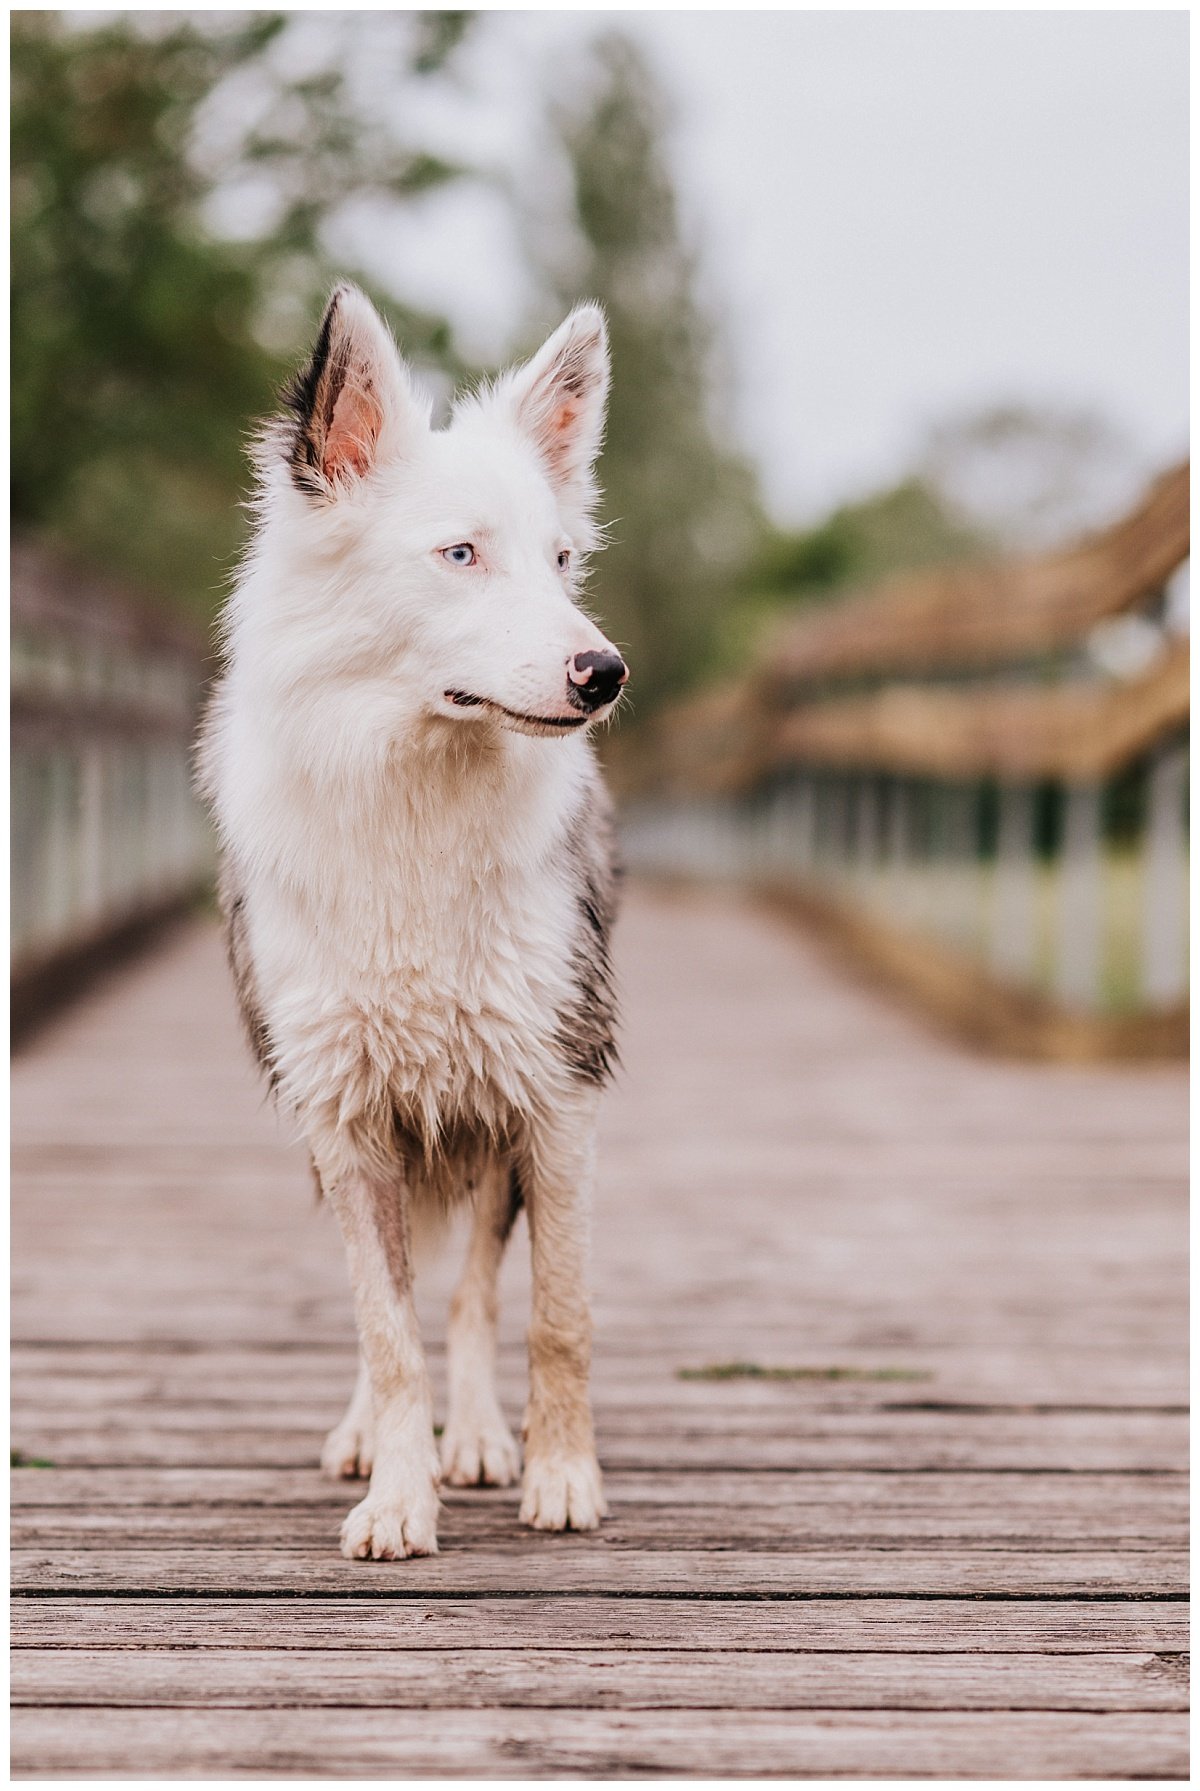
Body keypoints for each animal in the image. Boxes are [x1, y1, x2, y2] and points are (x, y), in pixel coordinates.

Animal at [197, 286, 630, 1561]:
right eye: (460, 555)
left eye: (561, 559)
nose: (605, 672)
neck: (419, 794)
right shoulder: (342, 1111)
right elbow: (385, 1331)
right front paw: (395, 1494)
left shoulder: (556, 1089)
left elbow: (553, 1314)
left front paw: (560, 1476)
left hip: (489, 1124)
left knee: (478, 1288)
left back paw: (481, 1437)